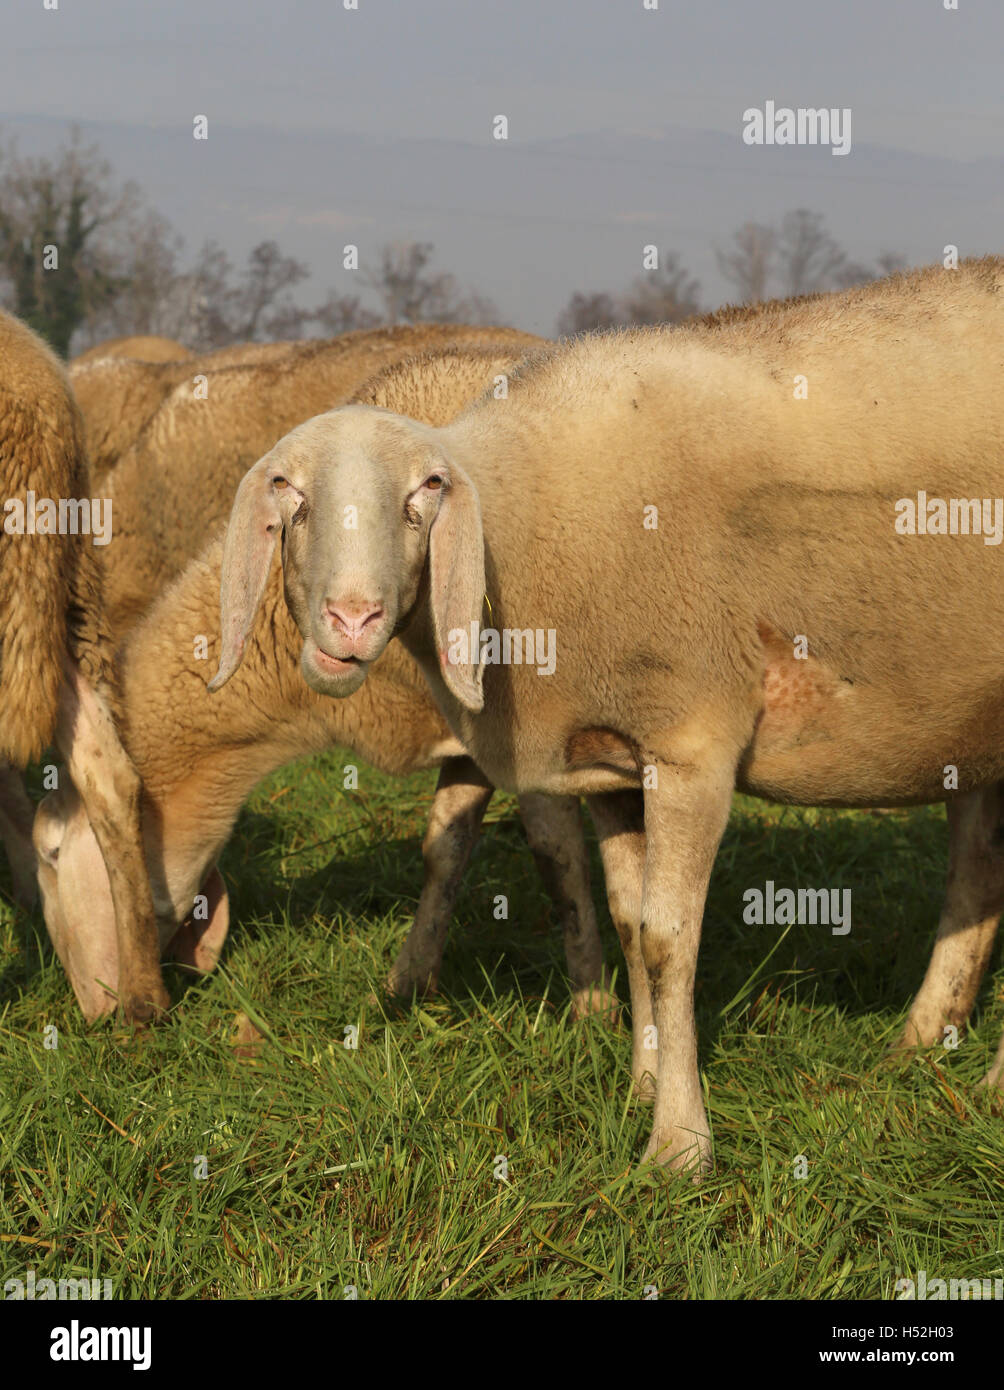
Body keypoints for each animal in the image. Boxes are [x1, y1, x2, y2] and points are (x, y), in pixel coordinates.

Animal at [34, 339, 609, 1023]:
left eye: (49, 855)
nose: (92, 1015)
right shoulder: (463, 734)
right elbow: (445, 850)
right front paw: (410, 983)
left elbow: (558, 856)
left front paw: (594, 1004)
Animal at [212, 258, 1004, 1170]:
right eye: (290, 494)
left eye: (426, 491)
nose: (350, 619)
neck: (523, 526)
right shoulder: (615, 761)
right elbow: (629, 924)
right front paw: (640, 1084)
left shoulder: (692, 742)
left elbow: (668, 939)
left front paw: (679, 1145)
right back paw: (932, 1045)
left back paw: (989, 1085)